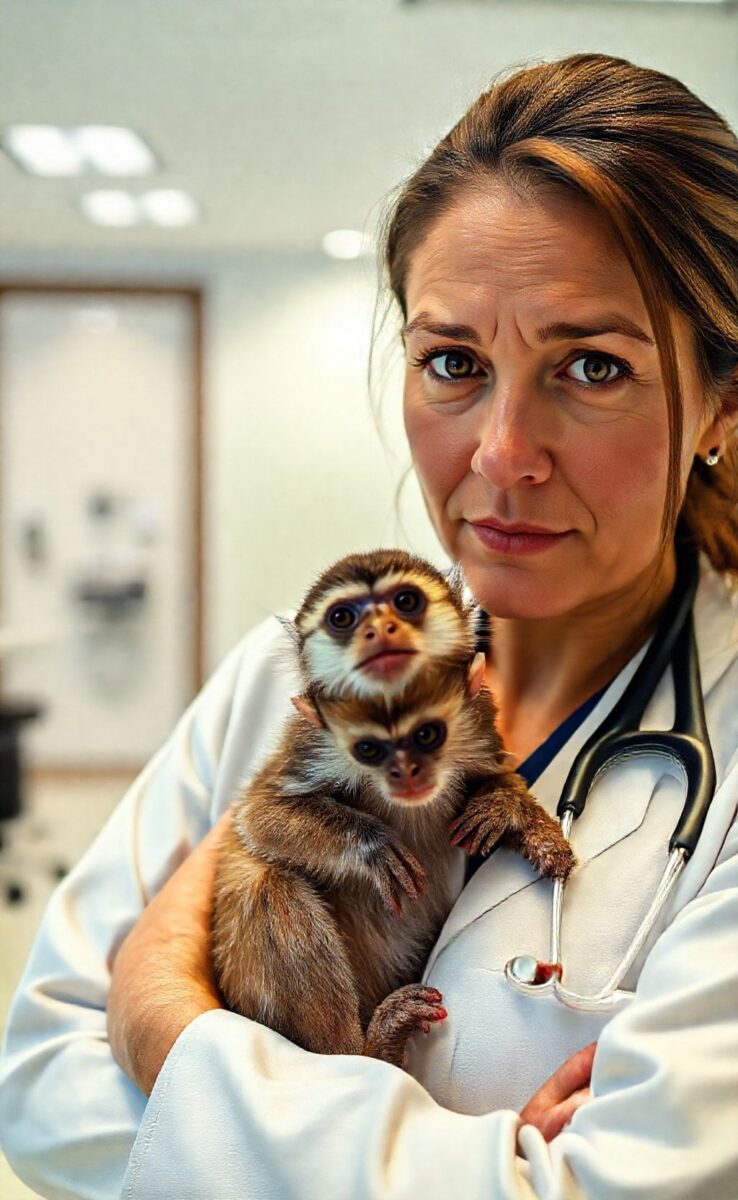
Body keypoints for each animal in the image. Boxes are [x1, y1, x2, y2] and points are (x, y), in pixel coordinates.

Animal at [212, 549, 576, 1069]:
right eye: (342, 617)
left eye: (406, 602)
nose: (407, 773)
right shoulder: (311, 743)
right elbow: (259, 817)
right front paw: (372, 846)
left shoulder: (478, 719)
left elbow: (497, 776)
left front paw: (509, 812)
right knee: (266, 884)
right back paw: (367, 1047)